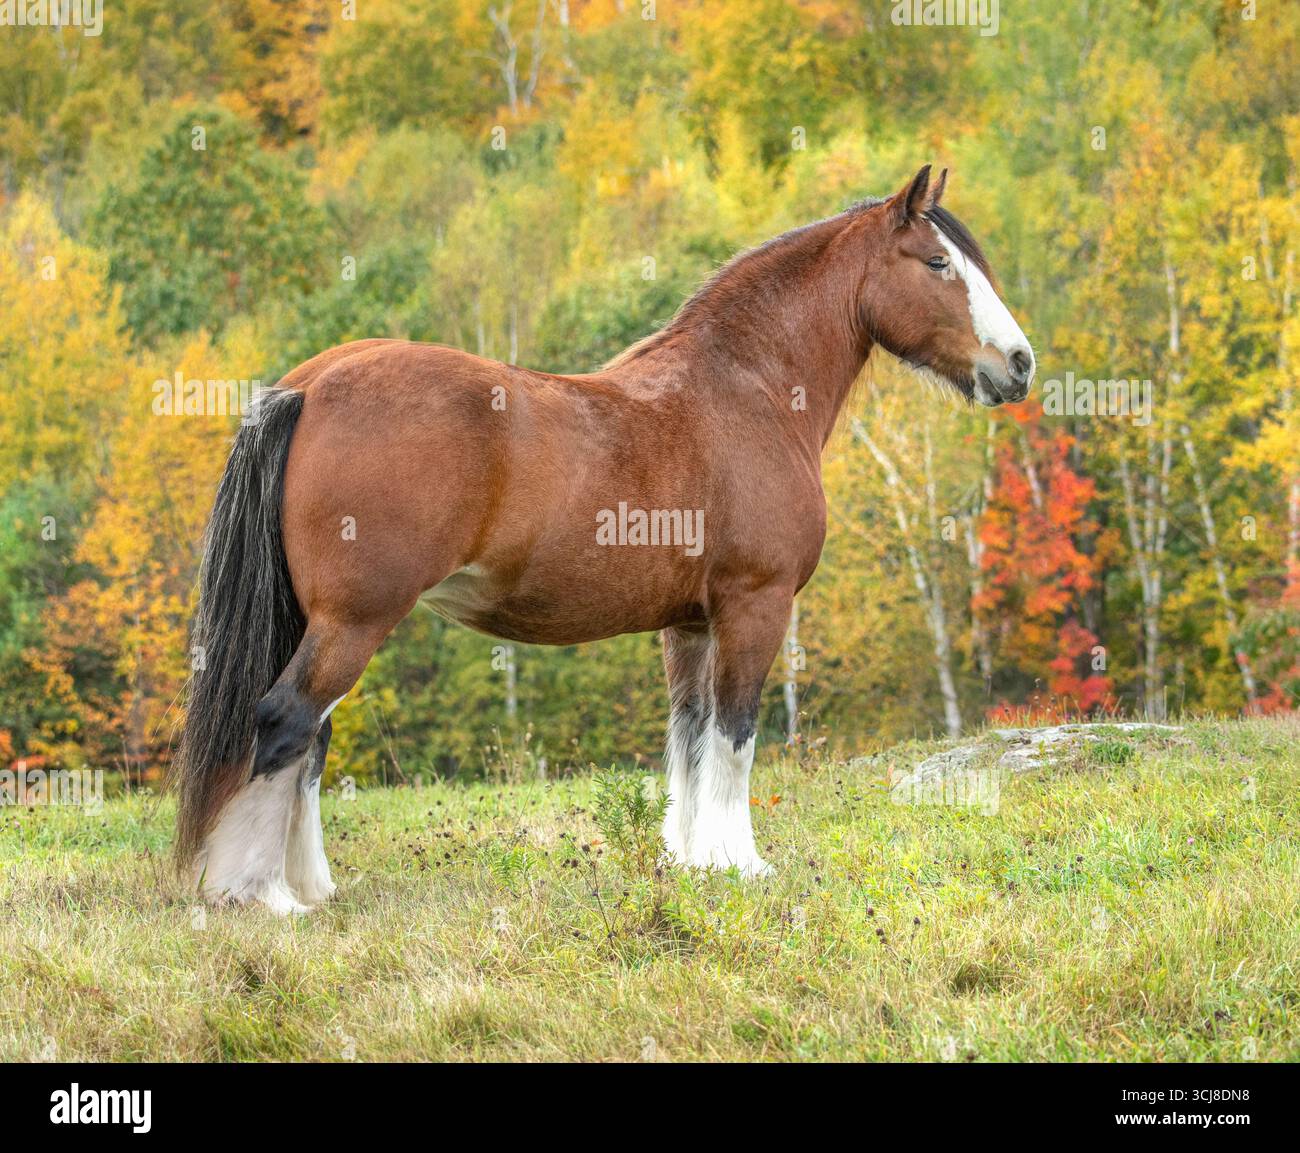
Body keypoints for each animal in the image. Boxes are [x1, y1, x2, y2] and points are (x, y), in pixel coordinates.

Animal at [173, 165, 1035, 913]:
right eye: (937, 262)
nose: (1020, 363)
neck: (744, 388)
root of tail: (309, 385)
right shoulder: (755, 604)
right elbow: (736, 733)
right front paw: (742, 862)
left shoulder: (689, 624)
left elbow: (690, 739)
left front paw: (692, 859)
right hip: (355, 620)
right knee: (284, 722)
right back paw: (263, 895)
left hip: (321, 620)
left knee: (309, 741)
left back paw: (310, 885)